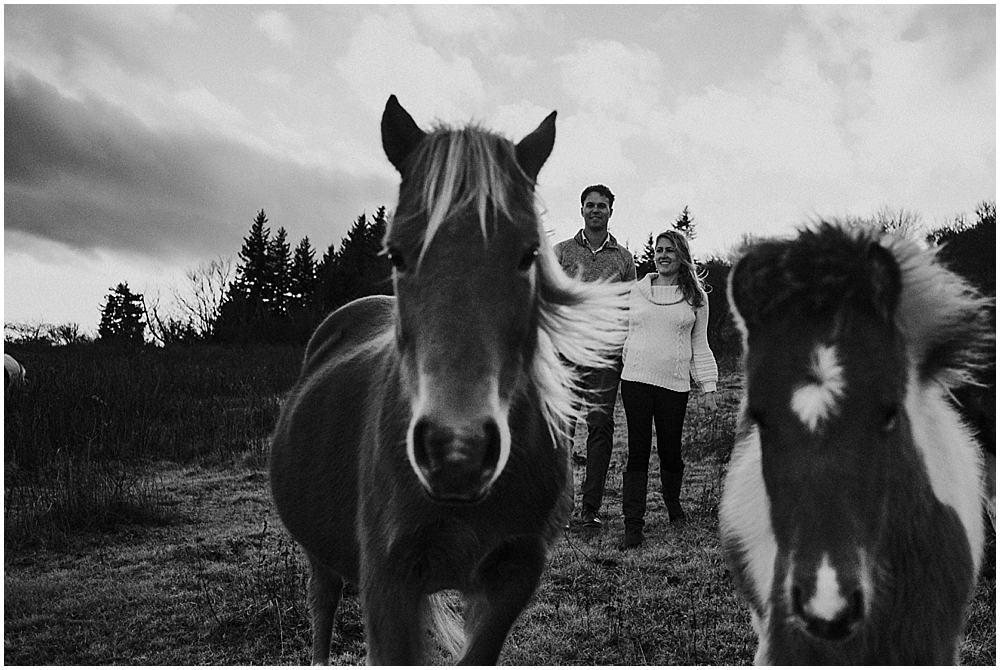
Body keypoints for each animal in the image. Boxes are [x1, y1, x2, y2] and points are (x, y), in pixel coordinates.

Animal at [266, 96, 624, 668]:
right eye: (395, 253)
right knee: (322, 605)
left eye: (529, 253)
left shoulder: (512, 578)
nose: (457, 450)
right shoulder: (387, 584)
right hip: (321, 556)